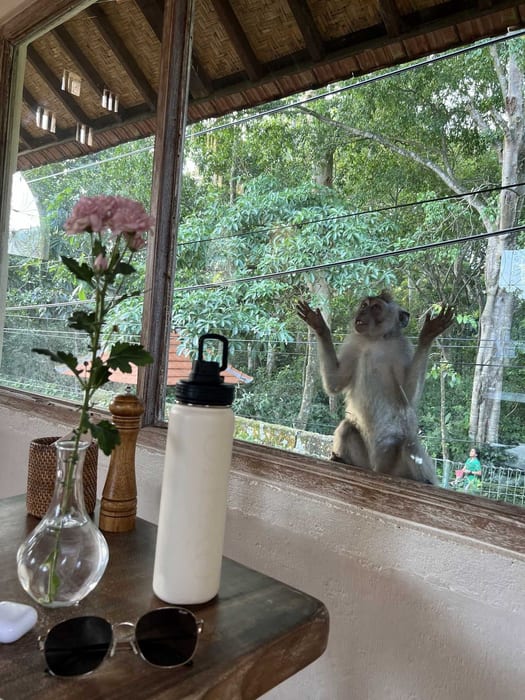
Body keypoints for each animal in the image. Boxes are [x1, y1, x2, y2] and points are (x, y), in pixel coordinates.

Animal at [296, 291, 454, 484]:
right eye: (364, 305)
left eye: (376, 308)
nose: (362, 313)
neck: (374, 340)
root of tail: (379, 469)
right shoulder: (354, 344)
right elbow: (335, 384)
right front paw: (320, 327)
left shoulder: (402, 348)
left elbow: (408, 396)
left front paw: (428, 334)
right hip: (365, 462)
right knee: (347, 428)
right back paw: (342, 460)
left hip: (396, 466)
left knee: (409, 444)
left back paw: (425, 481)